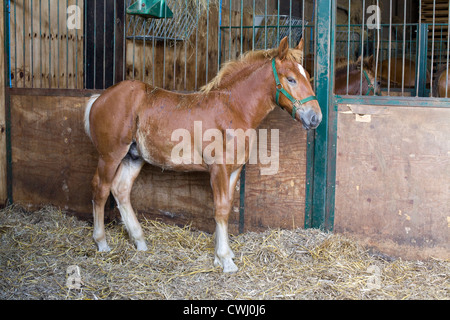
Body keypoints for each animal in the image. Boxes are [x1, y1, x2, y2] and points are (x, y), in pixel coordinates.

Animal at [84, 37, 322, 272]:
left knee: (121, 189)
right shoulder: (219, 169)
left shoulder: (234, 170)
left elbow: (226, 206)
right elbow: (221, 209)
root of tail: (99, 98)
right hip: (110, 156)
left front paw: (220, 256)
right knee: (100, 189)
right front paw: (226, 260)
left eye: (307, 76)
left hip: (134, 156)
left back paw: (140, 241)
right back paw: (102, 243)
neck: (233, 109)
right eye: (291, 79)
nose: (315, 118)